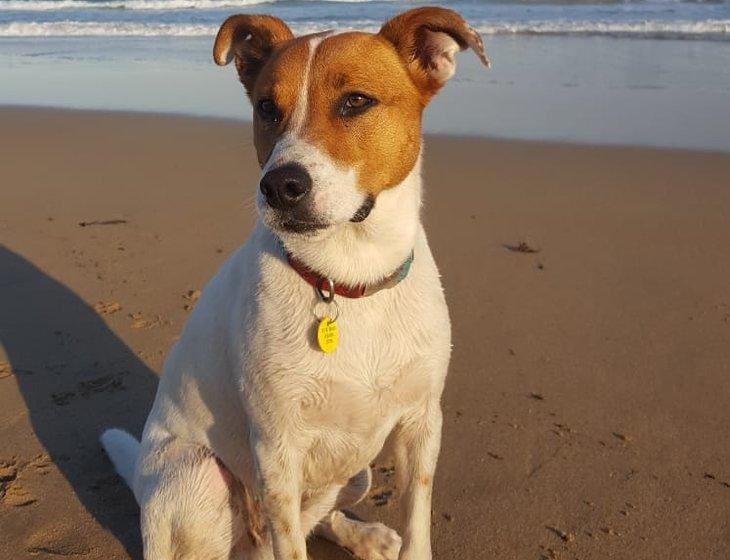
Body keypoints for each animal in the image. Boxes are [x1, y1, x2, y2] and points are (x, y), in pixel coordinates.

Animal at [101, 7, 490, 560]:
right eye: (267, 107)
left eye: (356, 101)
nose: (280, 186)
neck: (348, 278)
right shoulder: (276, 450)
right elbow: (291, 537)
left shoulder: (422, 425)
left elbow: (417, 526)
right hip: (199, 474)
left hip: (357, 474)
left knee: (321, 517)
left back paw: (365, 535)